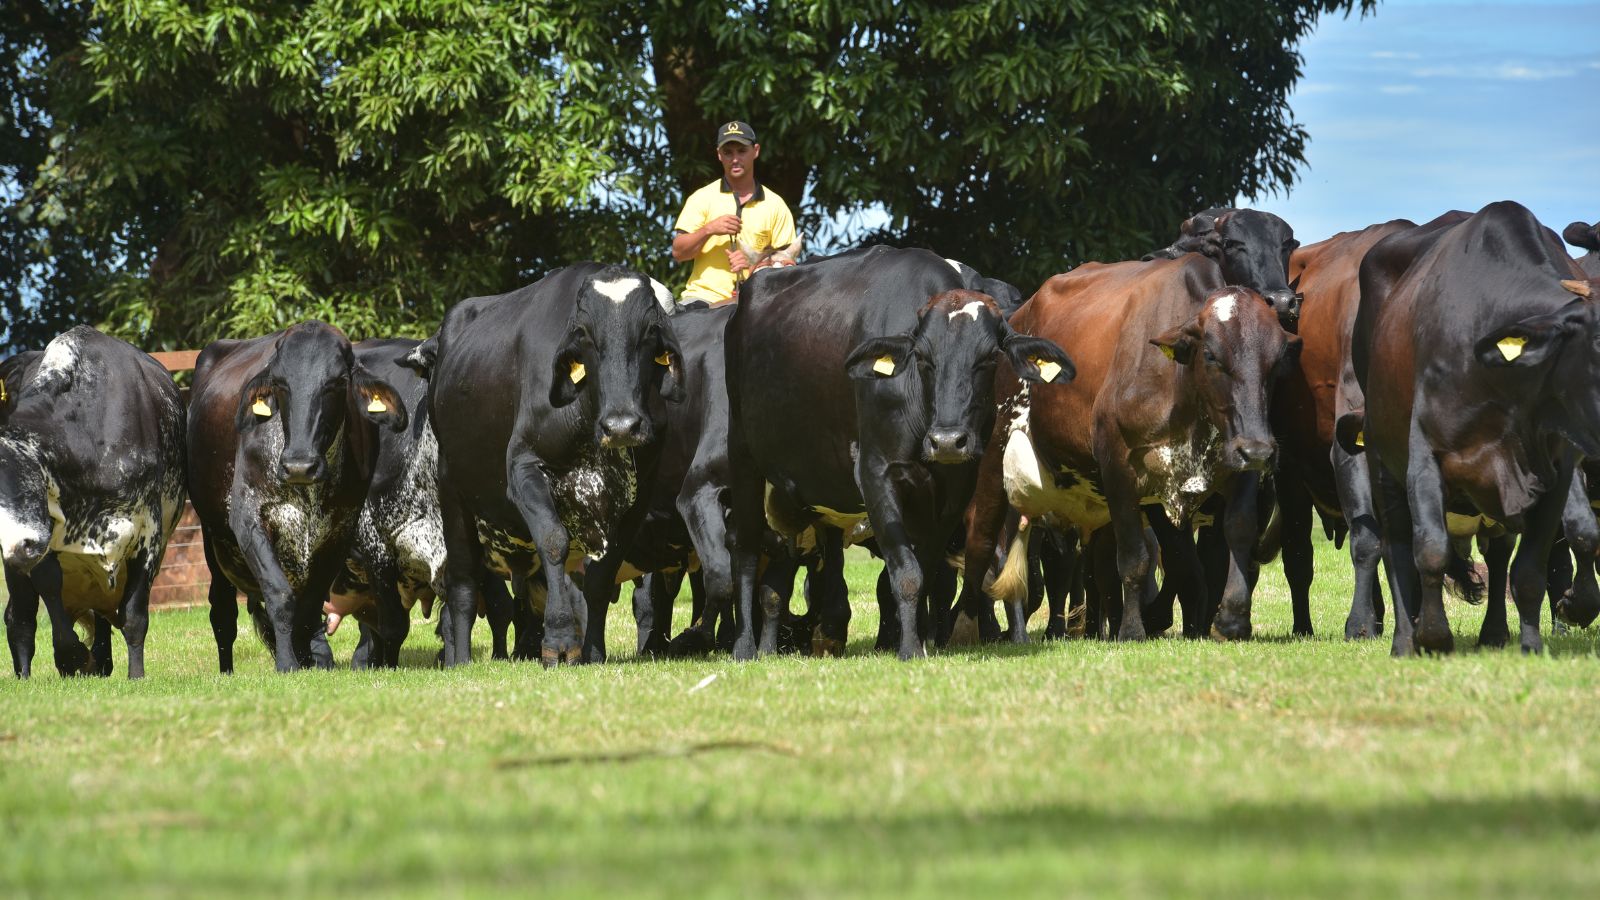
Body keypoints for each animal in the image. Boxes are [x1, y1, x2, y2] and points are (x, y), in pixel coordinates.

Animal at [0, 325, 185, 675]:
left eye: (18, 473)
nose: (19, 546)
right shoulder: (48, 542)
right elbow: (52, 598)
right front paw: (72, 658)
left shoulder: (149, 534)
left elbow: (134, 618)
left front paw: (136, 677)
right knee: (20, 621)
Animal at [425, 262, 681, 662]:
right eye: (586, 334)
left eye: (650, 332)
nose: (622, 425)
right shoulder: (524, 470)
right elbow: (553, 540)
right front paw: (558, 641)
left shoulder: (638, 497)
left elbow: (601, 575)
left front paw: (592, 651)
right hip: (453, 494)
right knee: (463, 586)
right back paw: (462, 659)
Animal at [723, 245, 1062, 659]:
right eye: (923, 358)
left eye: (988, 358)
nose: (947, 440)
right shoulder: (875, 472)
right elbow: (907, 572)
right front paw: (910, 648)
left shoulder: (955, 488)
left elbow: (926, 571)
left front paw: (916, 638)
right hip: (743, 458)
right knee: (745, 551)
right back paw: (744, 647)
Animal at [1350, 201, 1600, 650]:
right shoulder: (1424, 457)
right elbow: (1429, 549)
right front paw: (1433, 637)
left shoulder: (1556, 466)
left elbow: (1540, 562)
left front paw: (1539, 639)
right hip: (1380, 455)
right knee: (1397, 549)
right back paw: (1404, 640)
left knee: (1500, 555)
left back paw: (1495, 632)